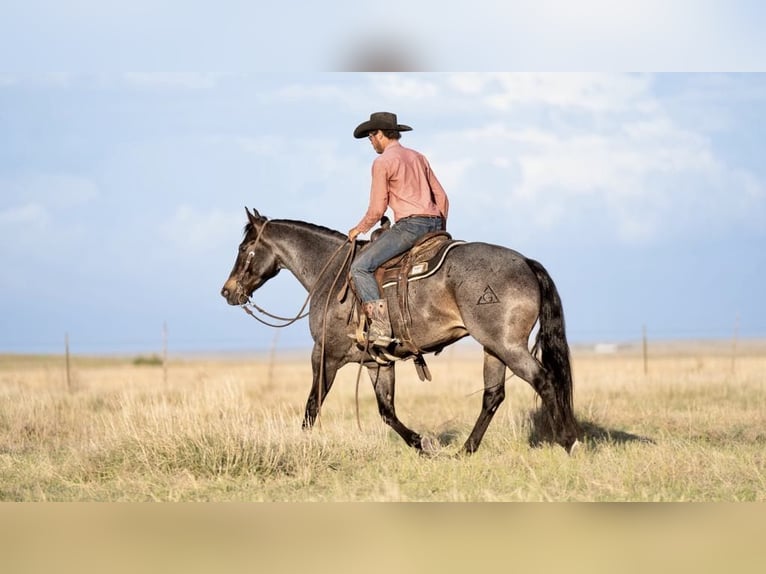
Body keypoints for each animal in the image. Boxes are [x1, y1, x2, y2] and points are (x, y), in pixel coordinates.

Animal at [219, 209, 580, 456]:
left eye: (244, 248)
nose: (227, 291)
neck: (333, 274)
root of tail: (526, 262)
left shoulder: (324, 354)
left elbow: (312, 404)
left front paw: (301, 443)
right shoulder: (377, 363)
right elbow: (386, 411)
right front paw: (421, 444)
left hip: (507, 346)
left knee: (544, 381)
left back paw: (568, 441)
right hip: (493, 348)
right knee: (493, 396)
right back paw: (466, 450)